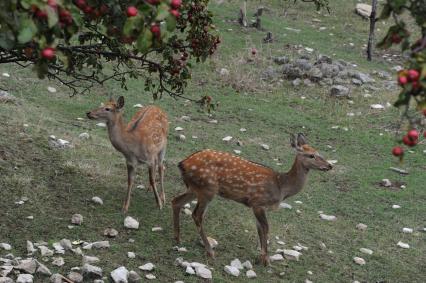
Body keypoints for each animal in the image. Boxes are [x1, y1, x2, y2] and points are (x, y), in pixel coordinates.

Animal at [172, 133, 332, 266]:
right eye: (311, 155)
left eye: (319, 152)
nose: (329, 165)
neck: (281, 187)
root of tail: (182, 163)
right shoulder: (258, 203)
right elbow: (266, 228)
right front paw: (266, 260)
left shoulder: (256, 206)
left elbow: (260, 229)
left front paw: (261, 257)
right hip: (207, 189)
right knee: (196, 215)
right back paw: (210, 251)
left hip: (195, 188)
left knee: (176, 201)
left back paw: (178, 238)